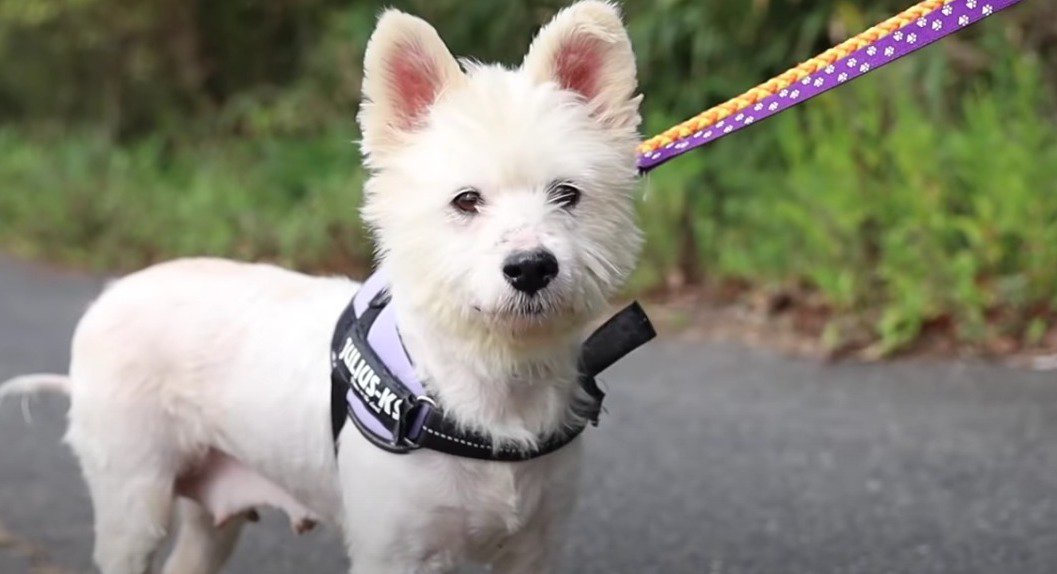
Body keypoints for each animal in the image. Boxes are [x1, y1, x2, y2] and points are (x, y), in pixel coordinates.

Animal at [2, 2, 642, 570]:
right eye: (466, 201)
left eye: (567, 194)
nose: (531, 267)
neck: (489, 389)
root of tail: (105, 299)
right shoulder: (395, 555)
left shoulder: (535, 550)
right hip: (134, 505)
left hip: (210, 518)